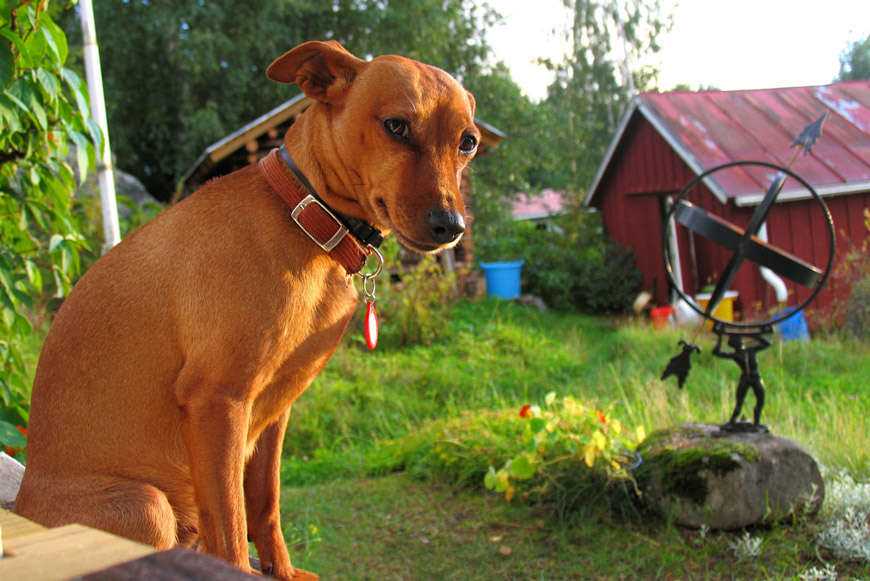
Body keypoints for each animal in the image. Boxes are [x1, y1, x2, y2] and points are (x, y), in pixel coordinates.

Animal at [15, 40, 479, 579]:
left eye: (468, 142)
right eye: (396, 126)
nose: (451, 226)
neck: (305, 221)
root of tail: (22, 504)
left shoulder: (275, 410)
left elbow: (264, 505)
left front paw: (283, 570)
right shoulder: (218, 403)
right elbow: (233, 531)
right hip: (146, 505)